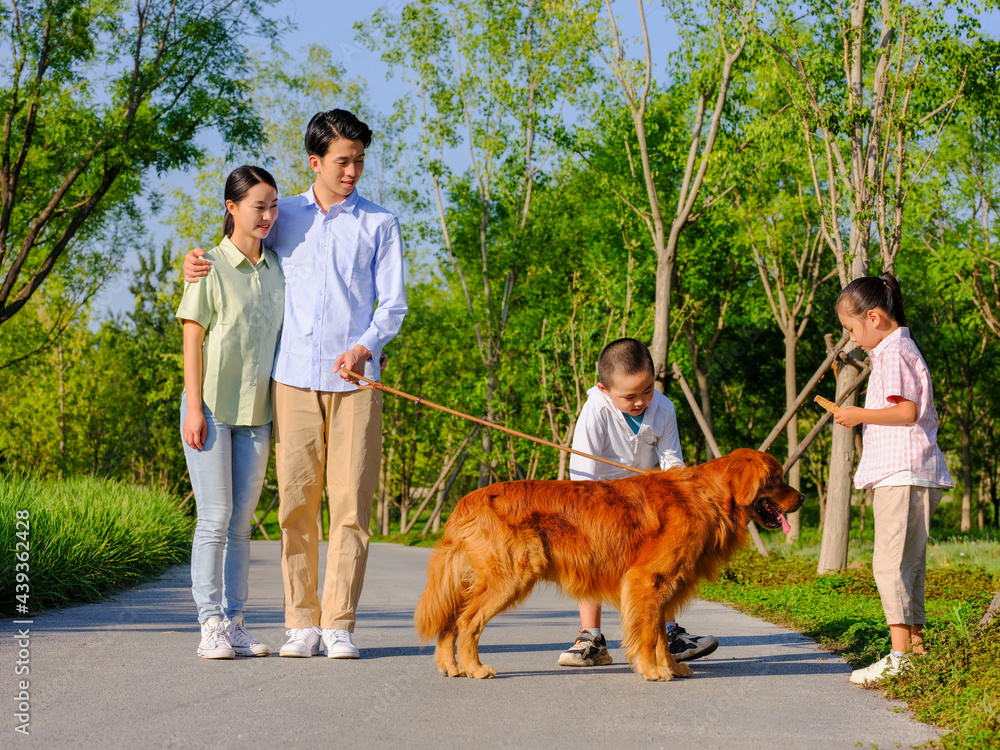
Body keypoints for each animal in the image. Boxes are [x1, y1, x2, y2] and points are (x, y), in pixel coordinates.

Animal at [414, 450, 804, 684]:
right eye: (777, 477)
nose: (802, 497)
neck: (708, 497)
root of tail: (469, 500)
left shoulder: (660, 586)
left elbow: (661, 636)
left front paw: (672, 667)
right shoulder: (645, 580)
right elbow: (646, 635)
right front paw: (651, 670)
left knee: (450, 620)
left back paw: (451, 667)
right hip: (511, 576)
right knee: (467, 621)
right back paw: (475, 668)